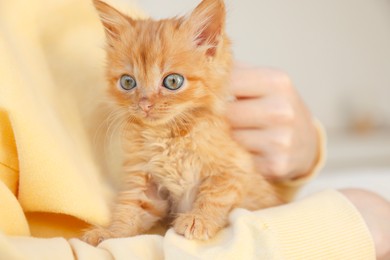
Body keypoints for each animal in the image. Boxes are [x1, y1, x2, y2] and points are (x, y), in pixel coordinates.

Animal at [84, 0, 282, 245]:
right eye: (128, 82)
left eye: (172, 81)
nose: (144, 104)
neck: (168, 136)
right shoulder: (146, 184)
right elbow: (129, 208)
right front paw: (111, 232)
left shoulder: (235, 168)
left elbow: (216, 194)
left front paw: (199, 219)